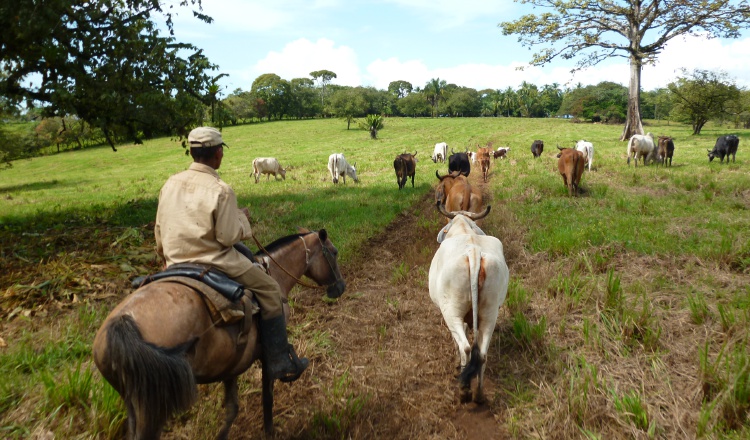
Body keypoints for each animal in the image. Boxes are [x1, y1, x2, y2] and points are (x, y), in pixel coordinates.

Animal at [93, 229, 346, 438]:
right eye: (333, 252)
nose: (340, 287)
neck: (274, 273)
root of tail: (123, 323)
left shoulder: (231, 363)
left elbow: (232, 409)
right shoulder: (267, 357)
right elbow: (268, 399)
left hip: (133, 401)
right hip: (153, 407)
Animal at [428, 203, 512, 402]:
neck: (463, 230)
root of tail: (474, 253)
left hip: (451, 312)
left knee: (465, 347)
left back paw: (464, 390)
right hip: (490, 313)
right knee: (481, 354)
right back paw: (479, 394)